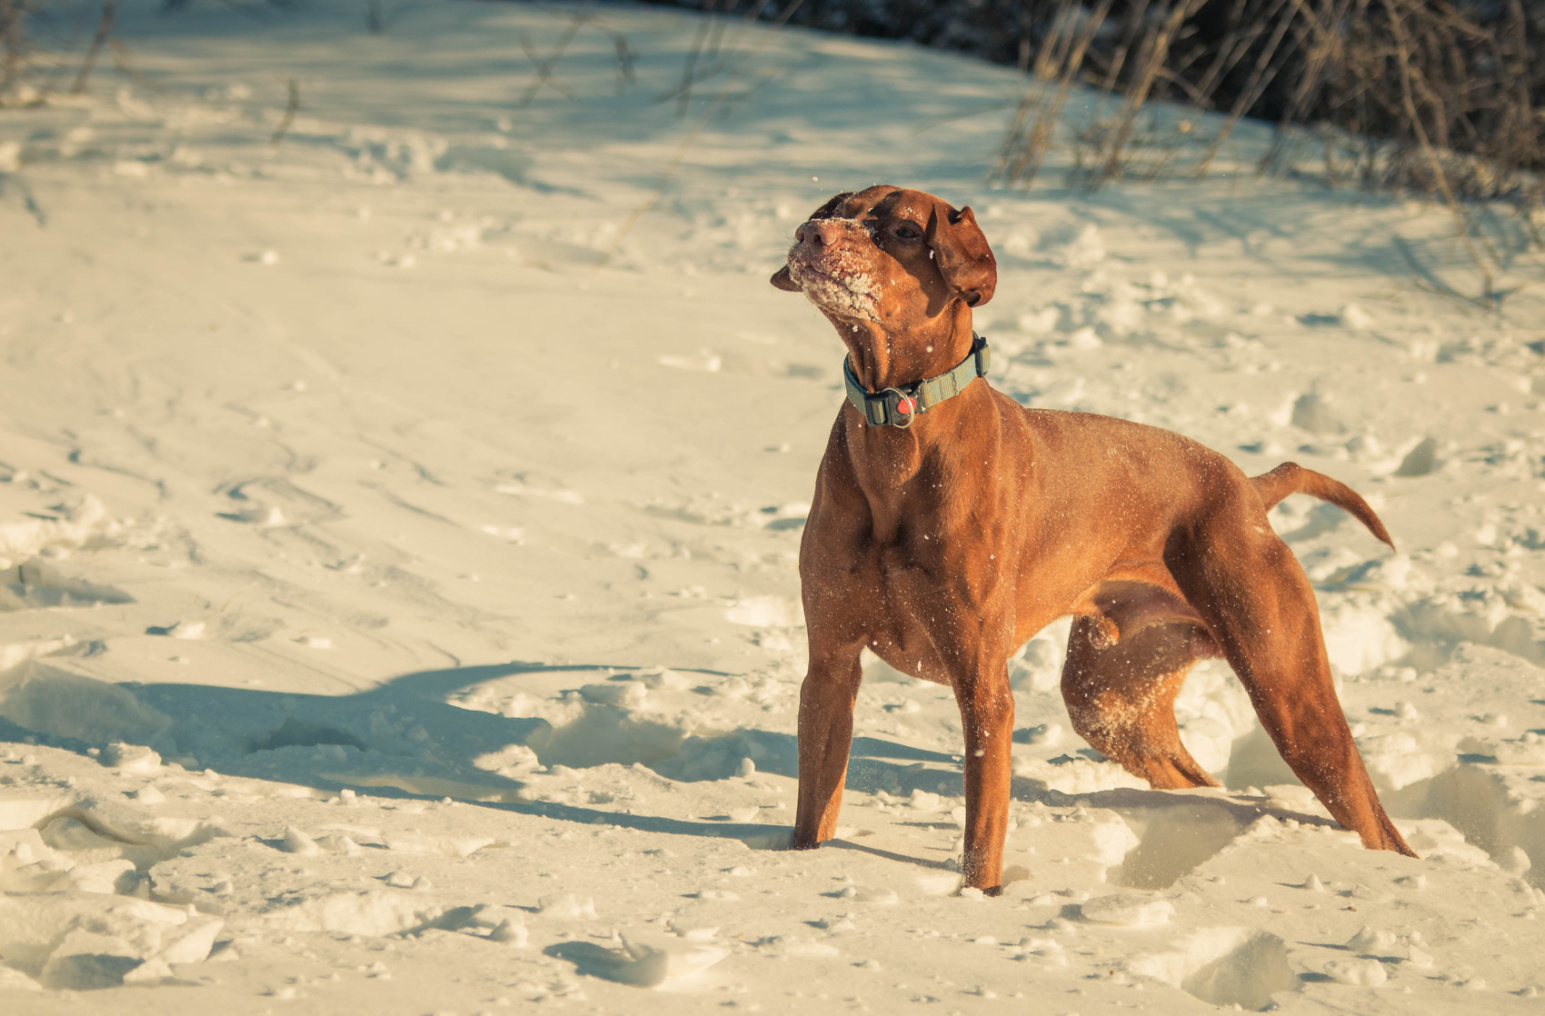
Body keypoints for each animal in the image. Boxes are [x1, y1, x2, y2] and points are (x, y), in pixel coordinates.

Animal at [772, 186, 1415, 889]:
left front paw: (979, 901)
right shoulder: (829, 668)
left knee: (1373, 818)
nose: (810, 233)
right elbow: (812, 817)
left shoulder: (983, 689)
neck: (897, 432)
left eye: (907, 230)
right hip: (1110, 701)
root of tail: (1248, 488)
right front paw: (799, 870)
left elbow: (981, 842)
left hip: (1289, 692)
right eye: (839, 207)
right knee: (1190, 775)